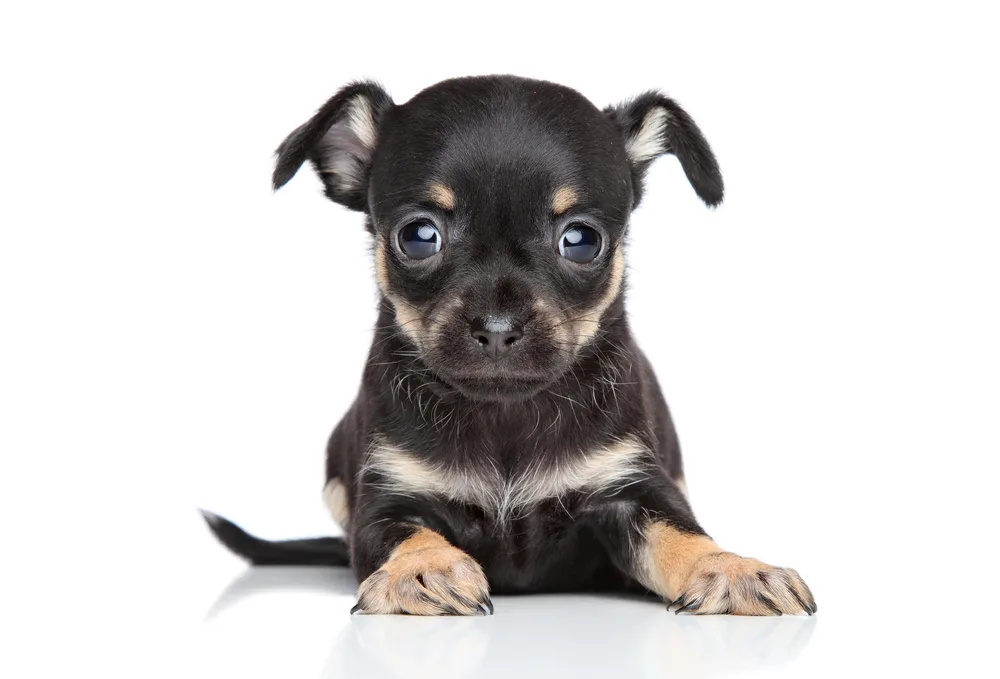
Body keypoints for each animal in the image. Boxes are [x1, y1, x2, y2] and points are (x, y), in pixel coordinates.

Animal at [201, 74, 812, 616]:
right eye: (418, 236)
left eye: (581, 240)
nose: (497, 325)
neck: (505, 413)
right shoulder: (387, 500)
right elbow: (404, 535)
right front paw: (423, 569)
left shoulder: (632, 490)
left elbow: (682, 535)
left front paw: (734, 569)